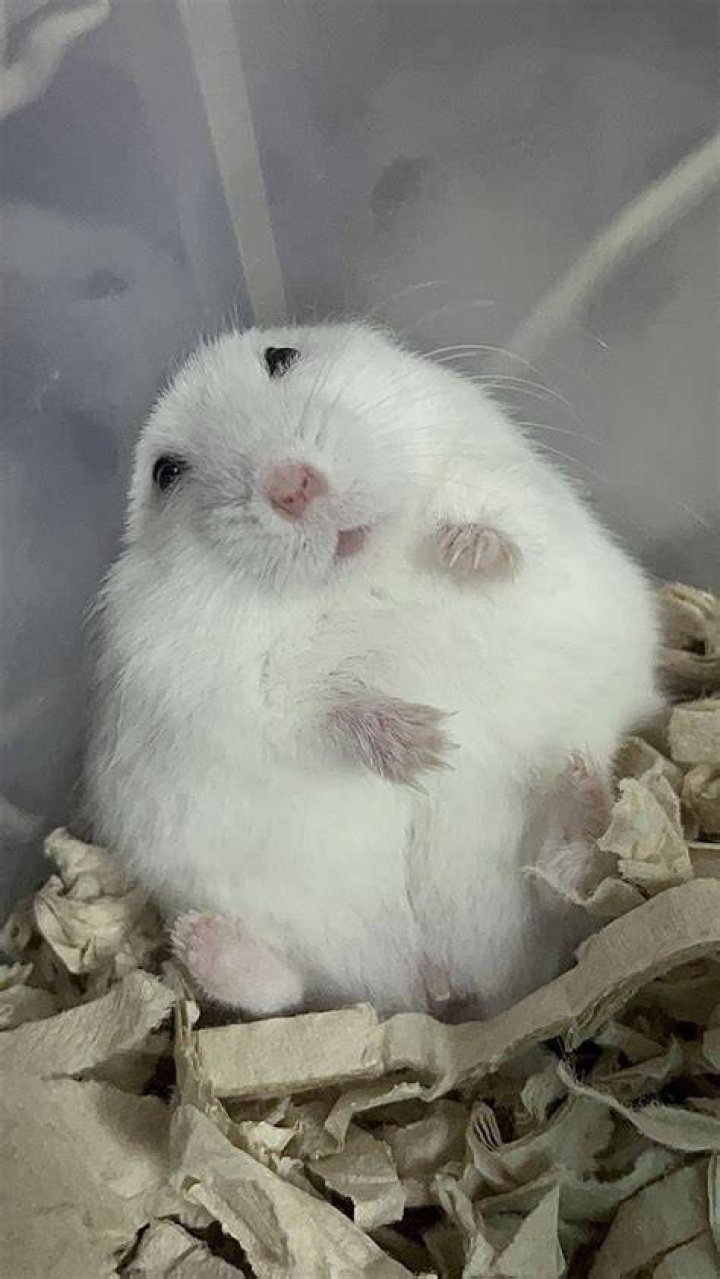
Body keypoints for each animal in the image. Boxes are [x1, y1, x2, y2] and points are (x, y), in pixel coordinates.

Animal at [84, 322, 660, 1019]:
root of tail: (440, 983)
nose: (292, 487)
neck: (361, 571)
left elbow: (513, 547)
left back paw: (576, 799)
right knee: (287, 989)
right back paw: (206, 944)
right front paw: (426, 745)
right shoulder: (222, 694)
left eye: (282, 357)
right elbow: (312, 713)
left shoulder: (530, 515)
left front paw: (464, 548)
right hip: (267, 914)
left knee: (567, 885)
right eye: (167, 472)